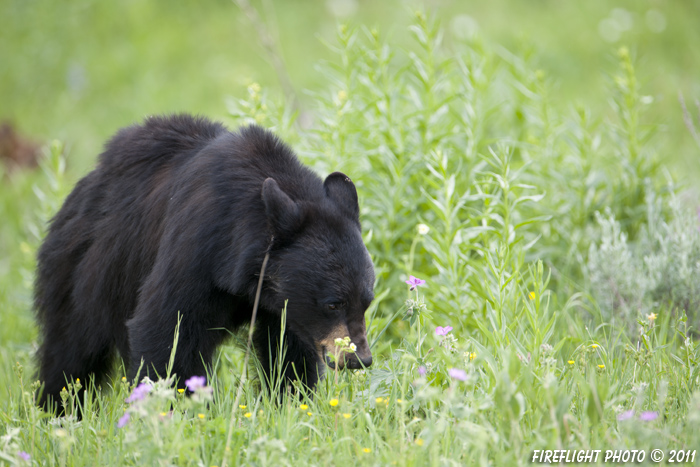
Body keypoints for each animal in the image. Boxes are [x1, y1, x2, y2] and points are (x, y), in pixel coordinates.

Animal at [35, 114, 374, 410]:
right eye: (333, 303)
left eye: (367, 302)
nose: (360, 359)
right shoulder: (196, 251)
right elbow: (165, 330)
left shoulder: (285, 305)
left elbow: (288, 352)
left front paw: (290, 403)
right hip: (85, 272)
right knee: (71, 351)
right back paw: (57, 410)